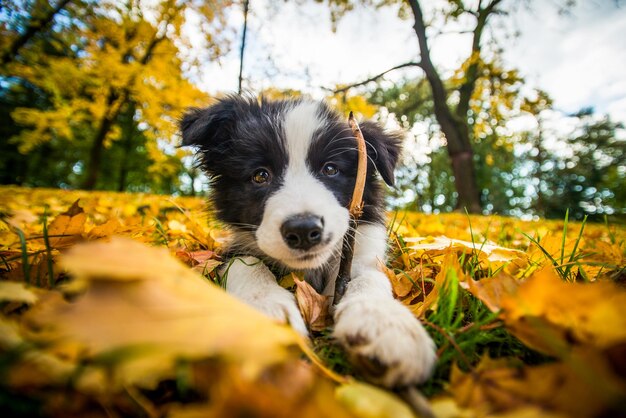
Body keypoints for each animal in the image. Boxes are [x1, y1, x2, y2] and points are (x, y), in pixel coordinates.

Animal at [180, 95, 434, 388]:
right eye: (260, 175)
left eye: (331, 169)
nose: (303, 230)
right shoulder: (231, 250)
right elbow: (245, 264)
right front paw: (263, 311)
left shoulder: (362, 250)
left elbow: (369, 278)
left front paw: (385, 324)